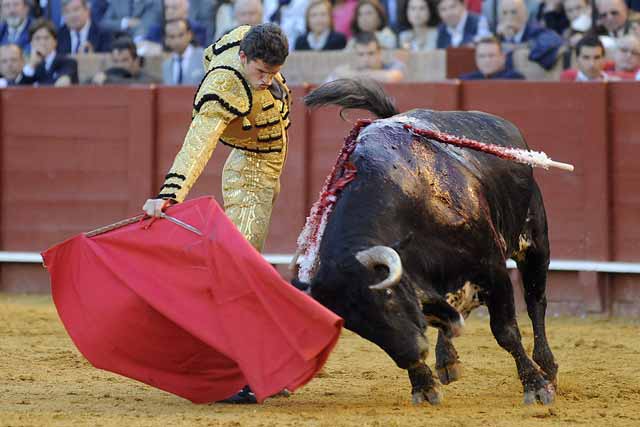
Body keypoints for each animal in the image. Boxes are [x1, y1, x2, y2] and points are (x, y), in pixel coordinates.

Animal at [298, 79, 556, 404]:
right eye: (357, 327)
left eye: (389, 299)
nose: (413, 353)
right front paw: (423, 384)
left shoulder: (491, 266)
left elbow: (506, 331)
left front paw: (535, 385)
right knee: (456, 313)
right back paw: (447, 360)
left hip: (534, 242)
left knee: (536, 301)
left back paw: (548, 367)